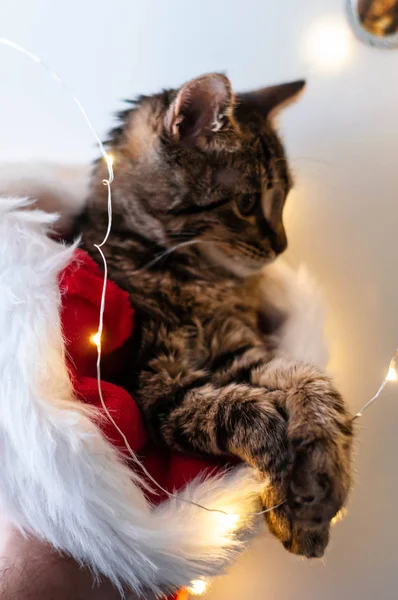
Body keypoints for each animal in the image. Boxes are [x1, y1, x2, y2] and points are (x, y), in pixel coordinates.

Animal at [79, 74, 352, 556]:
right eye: (245, 202)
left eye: (284, 199)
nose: (282, 245)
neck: (199, 279)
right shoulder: (159, 385)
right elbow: (239, 412)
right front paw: (285, 471)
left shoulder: (239, 351)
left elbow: (312, 381)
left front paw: (320, 473)